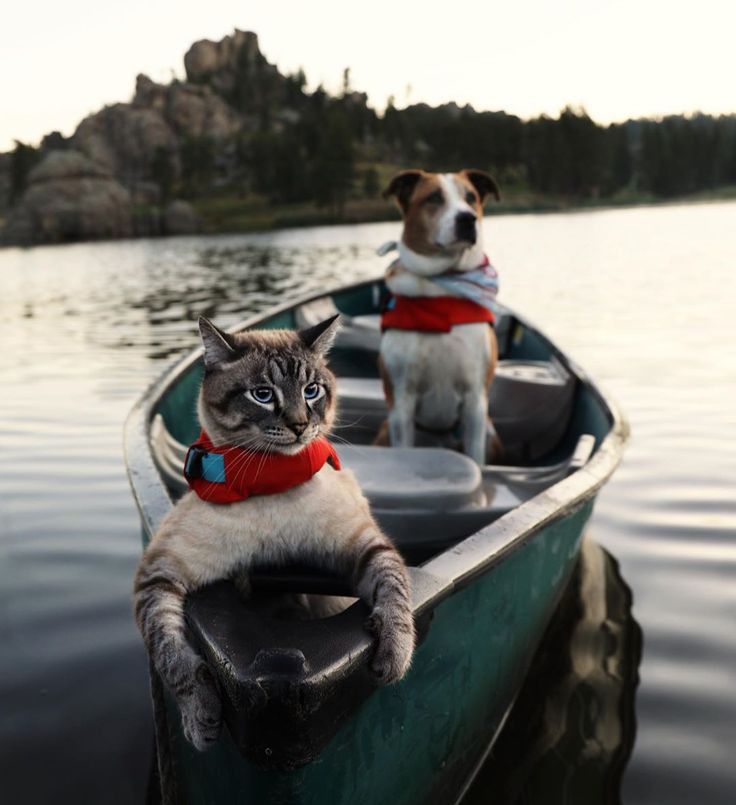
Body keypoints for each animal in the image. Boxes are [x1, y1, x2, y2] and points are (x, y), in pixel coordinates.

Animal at [132, 312, 414, 748]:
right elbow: (173, 658)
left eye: (312, 391)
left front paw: (394, 657)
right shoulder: (159, 576)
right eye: (263, 395)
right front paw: (201, 720)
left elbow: (395, 592)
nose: (299, 425)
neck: (271, 482)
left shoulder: (366, 547)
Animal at [376, 170, 504, 464]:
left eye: (471, 197)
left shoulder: (475, 401)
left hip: (491, 432)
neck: (439, 292)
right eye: (433, 198)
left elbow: (476, 458)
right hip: (385, 430)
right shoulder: (401, 403)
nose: (467, 218)